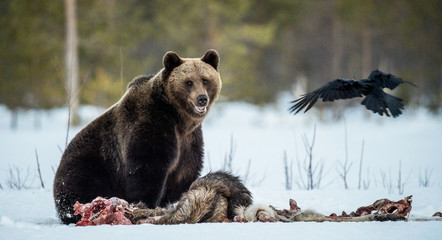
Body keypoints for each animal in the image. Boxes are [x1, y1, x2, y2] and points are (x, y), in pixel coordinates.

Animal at [54, 49, 223, 224]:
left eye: (205, 80)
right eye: (189, 82)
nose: (202, 98)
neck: (177, 117)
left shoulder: (189, 140)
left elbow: (184, 172)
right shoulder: (151, 126)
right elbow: (146, 170)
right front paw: (146, 205)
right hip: (89, 167)